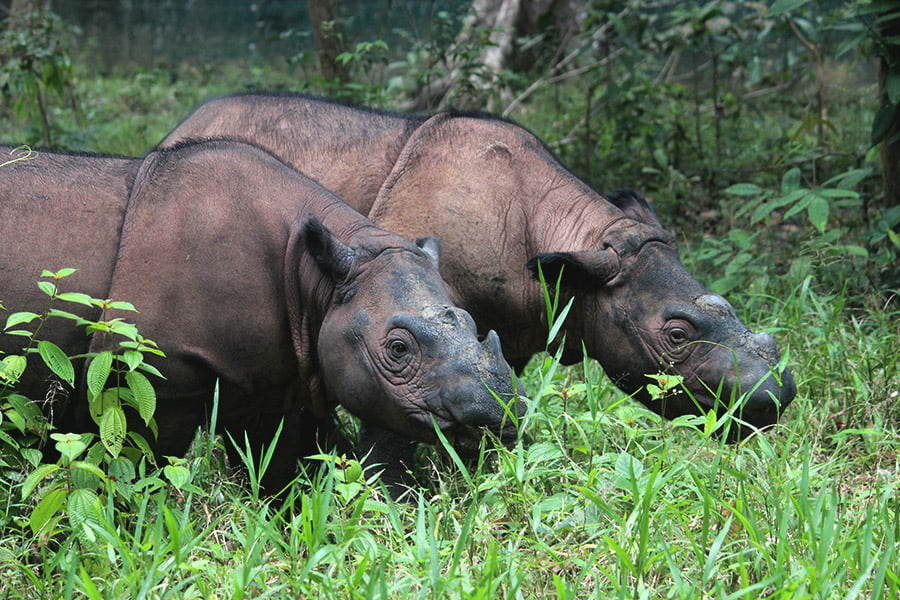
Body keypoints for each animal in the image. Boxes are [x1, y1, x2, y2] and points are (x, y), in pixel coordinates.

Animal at [0, 140, 524, 492]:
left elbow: (278, 466)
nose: (500, 412)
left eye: (474, 325)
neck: (319, 281)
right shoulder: (149, 376)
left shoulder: (272, 376)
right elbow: (143, 465)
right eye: (397, 348)